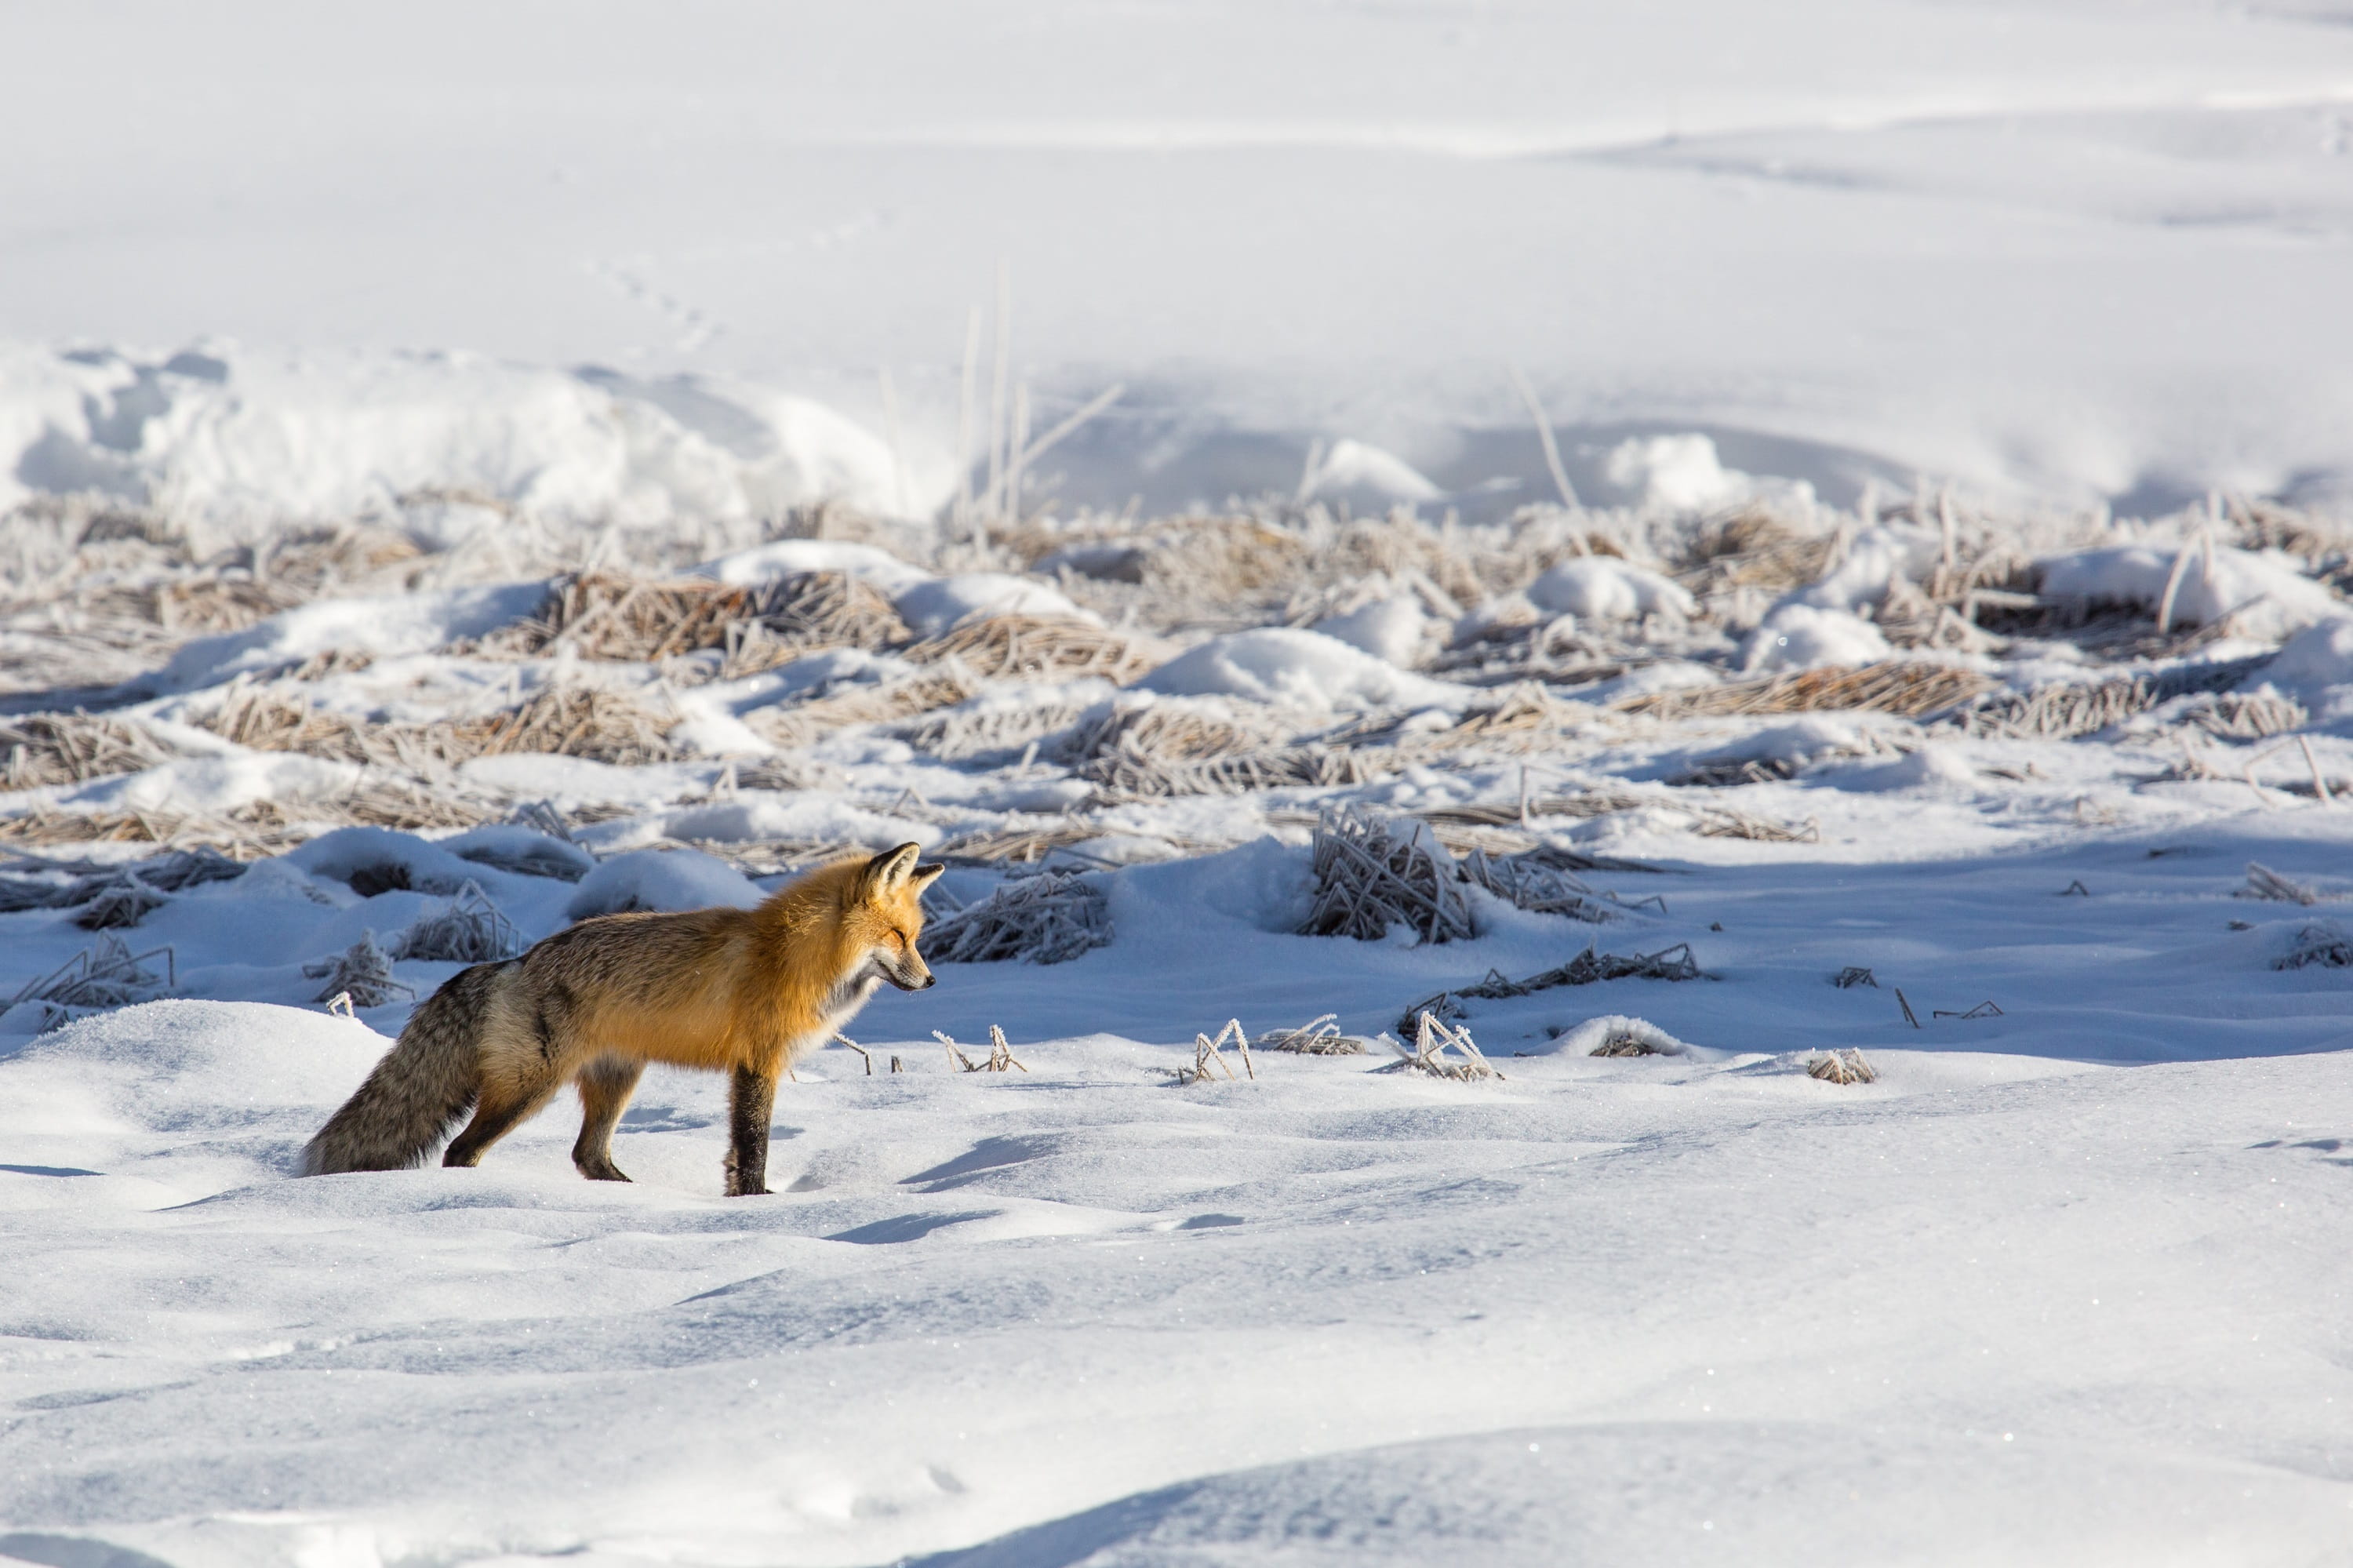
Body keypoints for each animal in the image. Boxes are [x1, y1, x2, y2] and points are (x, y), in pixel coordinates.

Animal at [300, 841, 943, 1195]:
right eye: (899, 936)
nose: (933, 982)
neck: (794, 957)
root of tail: (517, 960)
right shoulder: (757, 1064)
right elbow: (753, 1145)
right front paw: (757, 1202)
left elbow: (740, 1151)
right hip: (530, 1088)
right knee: (461, 1149)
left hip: (616, 1081)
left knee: (587, 1156)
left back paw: (628, 1198)